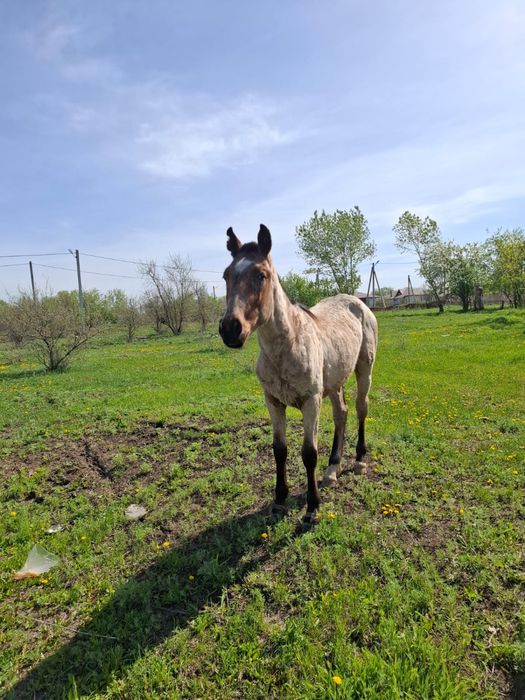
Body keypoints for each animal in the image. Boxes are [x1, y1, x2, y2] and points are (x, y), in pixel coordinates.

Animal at [219, 224, 378, 528]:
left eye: (261, 275)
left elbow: (308, 453)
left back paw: (359, 460)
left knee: (361, 408)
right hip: (334, 381)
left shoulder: (310, 401)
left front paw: (312, 509)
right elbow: (279, 450)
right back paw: (332, 469)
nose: (230, 329)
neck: (287, 345)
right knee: (341, 413)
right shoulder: (273, 401)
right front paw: (279, 501)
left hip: (364, 369)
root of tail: (357, 301)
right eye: (226, 275)